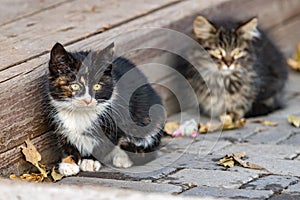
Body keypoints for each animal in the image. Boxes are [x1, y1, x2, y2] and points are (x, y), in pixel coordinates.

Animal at [47, 42, 164, 177]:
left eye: (97, 86)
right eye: (75, 86)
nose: (88, 100)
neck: (81, 114)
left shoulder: (116, 121)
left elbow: (105, 144)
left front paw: (90, 160)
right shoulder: (59, 120)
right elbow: (65, 141)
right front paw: (68, 163)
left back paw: (123, 158)